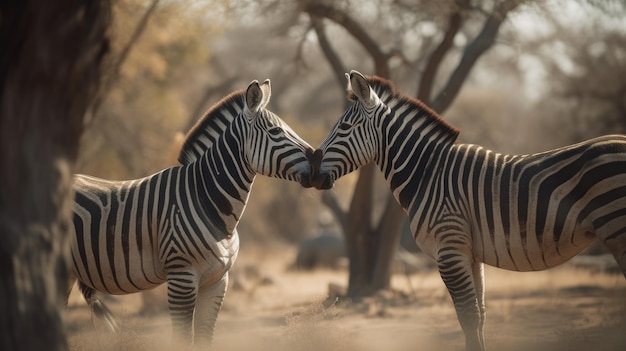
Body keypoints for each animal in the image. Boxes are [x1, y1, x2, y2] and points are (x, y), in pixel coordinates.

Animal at [68, 80, 314, 346]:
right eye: (276, 132)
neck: (209, 203)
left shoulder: (218, 281)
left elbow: (206, 337)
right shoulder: (181, 278)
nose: (318, 160)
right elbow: (183, 338)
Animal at [308, 71, 624, 351]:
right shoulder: (471, 253)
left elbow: (467, 317)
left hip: (616, 227)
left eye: (344, 129)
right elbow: (480, 314)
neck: (428, 173)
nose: (313, 175)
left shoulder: (449, 249)